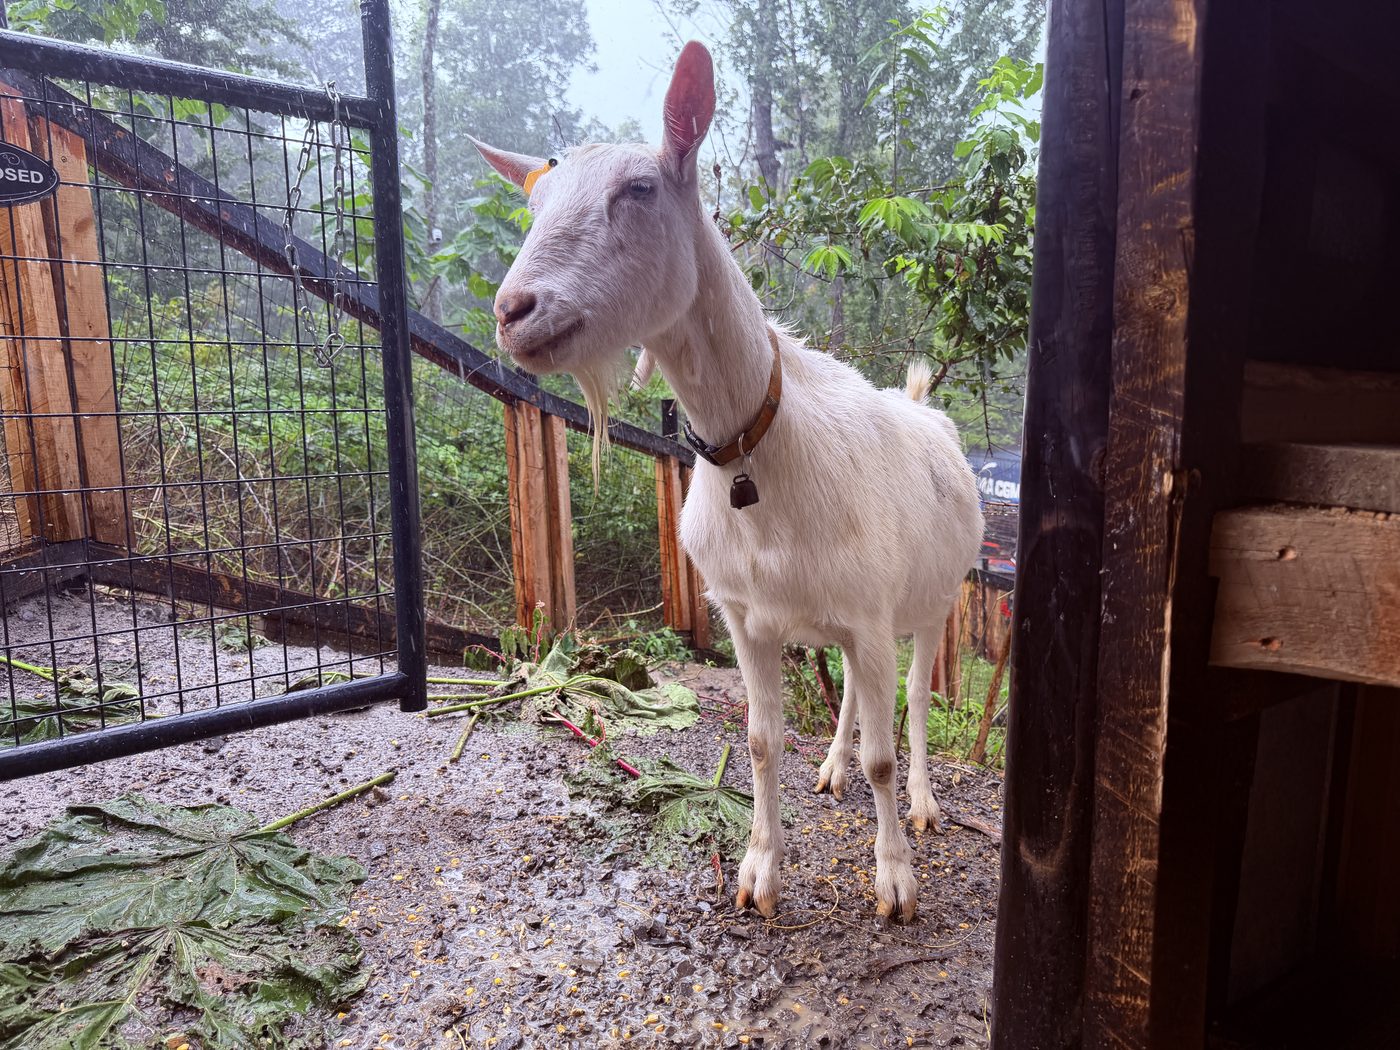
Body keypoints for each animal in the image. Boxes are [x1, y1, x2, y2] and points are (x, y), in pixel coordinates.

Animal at [472, 42, 983, 922]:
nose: (514, 311)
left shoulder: (873, 612)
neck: (762, 445)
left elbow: (886, 750)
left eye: (639, 189)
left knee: (915, 698)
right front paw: (758, 874)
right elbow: (759, 739)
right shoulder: (749, 614)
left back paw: (920, 804)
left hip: (934, 600)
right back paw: (832, 768)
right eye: (532, 203)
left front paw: (895, 882)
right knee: (853, 695)